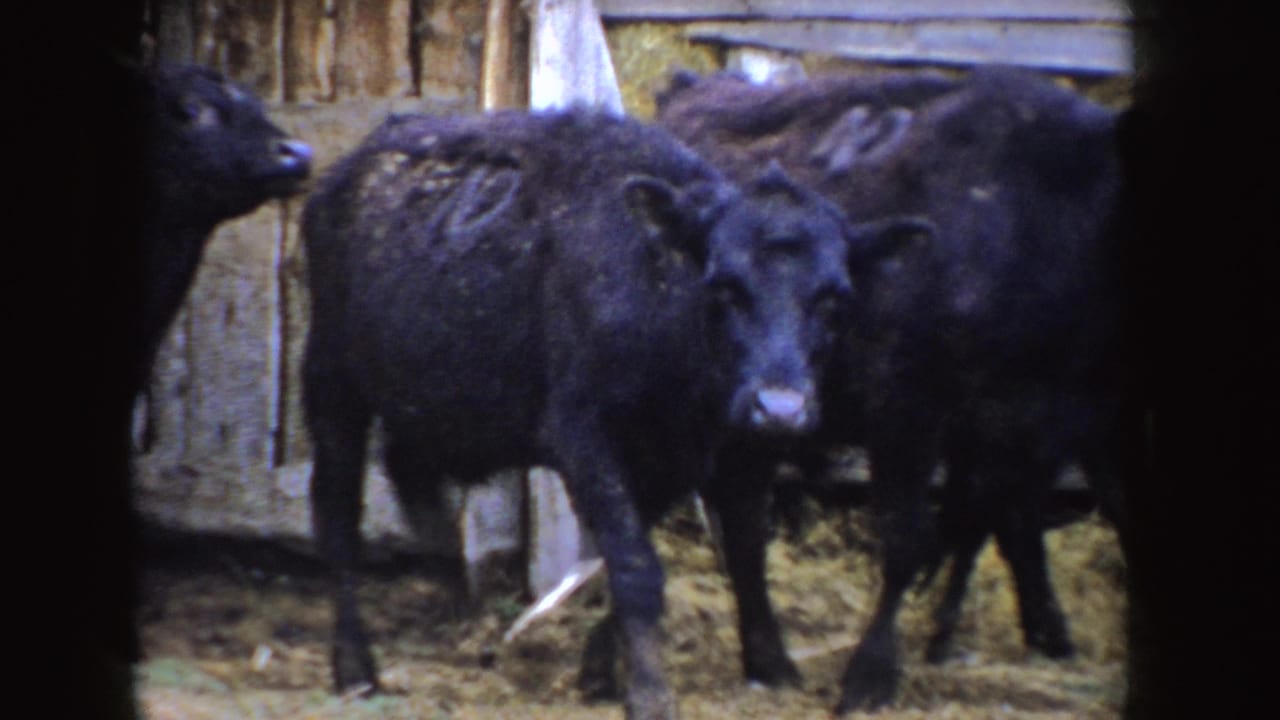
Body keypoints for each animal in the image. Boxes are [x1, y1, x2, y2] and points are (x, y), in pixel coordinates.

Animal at [299, 107, 929, 720]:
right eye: (723, 287)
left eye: (834, 298)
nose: (780, 409)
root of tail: (349, 167)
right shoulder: (585, 438)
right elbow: (633, 563)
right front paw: (649, 692)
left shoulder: (704, 454)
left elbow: (727, 550)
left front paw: (618, 668)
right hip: (331, 385)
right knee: (337, 516)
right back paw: (354, 665)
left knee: (409, 472)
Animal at [657, 65, 1129, 712]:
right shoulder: (909, 416)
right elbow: (914, 538)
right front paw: (872, 674)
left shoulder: (1035, 429)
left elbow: (989, 523)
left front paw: (1009, 634)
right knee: (744, 522)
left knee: (745, 518)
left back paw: (767, 658)